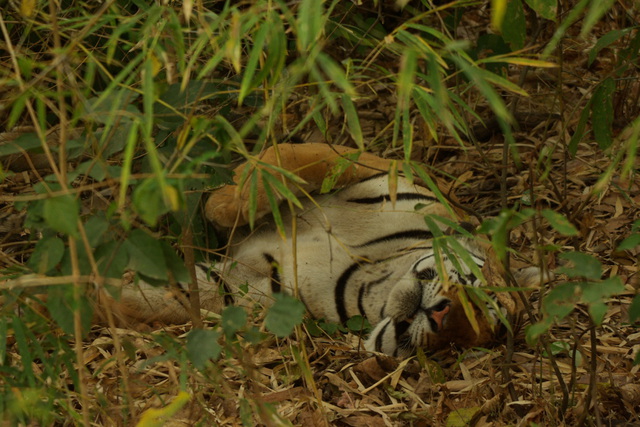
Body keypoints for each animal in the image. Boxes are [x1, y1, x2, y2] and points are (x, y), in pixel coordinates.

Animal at [109, 143, 544, 358]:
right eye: (482, 294)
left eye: (459, 343)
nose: (441, 318)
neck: (376, 275)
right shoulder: (375, 168)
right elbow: (289, 158)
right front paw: (222, 205)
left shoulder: (256, 283)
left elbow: (179, 295)